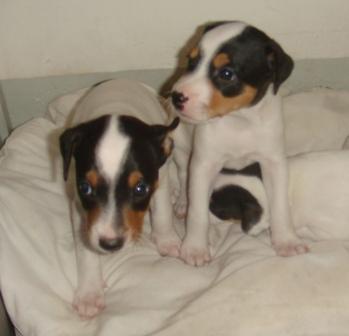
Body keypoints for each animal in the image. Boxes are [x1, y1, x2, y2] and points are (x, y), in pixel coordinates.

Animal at [59, 79, 179, 318]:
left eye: (141, 189)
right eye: (85, 188)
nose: (110, 244)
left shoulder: (159, 180)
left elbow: (162, 212)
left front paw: (167, 241)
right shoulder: (79, 208)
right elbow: (86, 253)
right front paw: (89, 293)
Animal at [169, 21, 308, 266]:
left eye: (227, 74)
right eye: (191, 61)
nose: (176, 97)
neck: (240, 120)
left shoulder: (273, 162)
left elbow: (280, 204)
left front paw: (287, 240)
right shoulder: (204, 164)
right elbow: (198, 211)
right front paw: (195, 247)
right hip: (182, 148)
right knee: (185, 176)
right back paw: (183, 203)